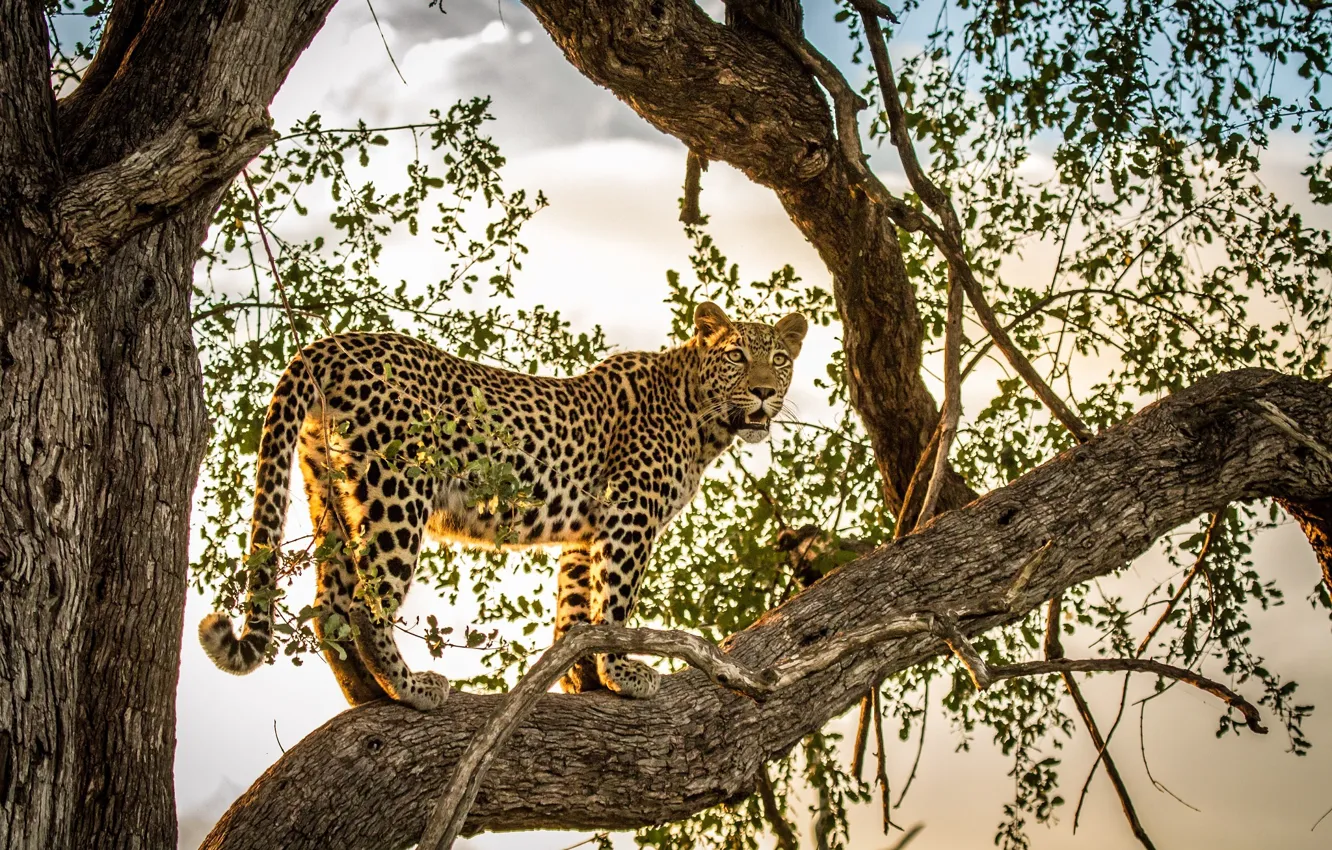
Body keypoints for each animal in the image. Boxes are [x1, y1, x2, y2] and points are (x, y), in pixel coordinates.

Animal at [199, 301, 807, 710]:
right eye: (736, 357)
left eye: (779, 359)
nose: (763, 392)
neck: (701, 415)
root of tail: (329, 344)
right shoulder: (629, 515)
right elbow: (614, 605)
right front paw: (622, 674)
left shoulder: (586, 533)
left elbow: (575, 610)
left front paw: (585, 678)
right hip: (397, 490)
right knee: (365, 606)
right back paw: (411, 689)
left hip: (329, 493)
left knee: (329, 605)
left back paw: (366, 694)